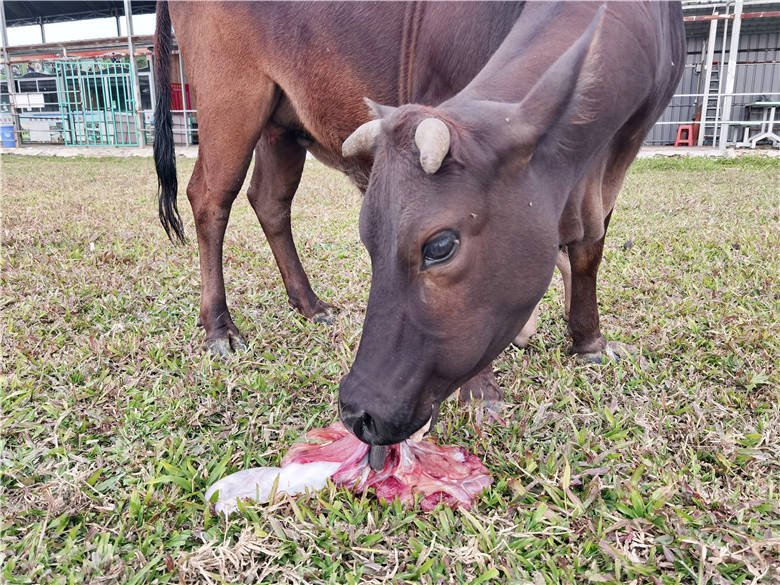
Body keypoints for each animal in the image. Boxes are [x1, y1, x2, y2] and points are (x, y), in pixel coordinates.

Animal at [152, 0, 552, 396]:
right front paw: (480, 390)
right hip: (230, 99)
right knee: (210, 198)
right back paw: (221, 329)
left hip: (281, 123)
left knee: (269, 201)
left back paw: (311, 305)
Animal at [338, 1, 684, 448]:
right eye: (368, 239)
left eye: (439, 246)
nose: (357, 412)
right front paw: (482, 391)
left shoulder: (622, 154)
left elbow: (589, 254)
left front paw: (589, 340)